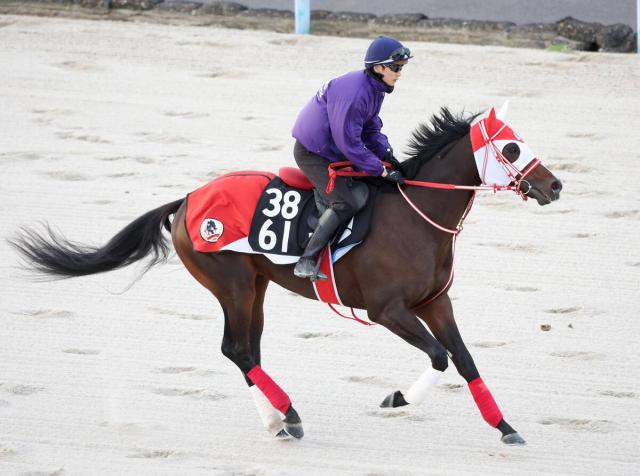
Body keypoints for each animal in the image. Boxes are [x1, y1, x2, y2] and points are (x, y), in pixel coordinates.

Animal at [9, 106, 562, 445]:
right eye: (511, 149)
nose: (555, 185)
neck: (417, 214)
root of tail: (186, 200)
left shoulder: (434, 302)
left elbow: (465, 360)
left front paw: (505, 426)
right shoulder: (387, 310)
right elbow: (440, 357)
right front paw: (398, 397)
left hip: (254, 287)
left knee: (247, 351)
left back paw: (277, 420)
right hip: (230, 283)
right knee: (236, 349)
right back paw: (289, 415)